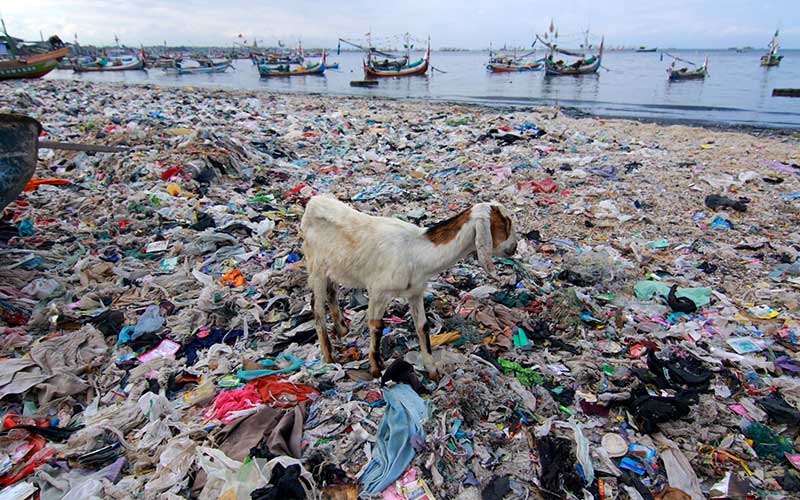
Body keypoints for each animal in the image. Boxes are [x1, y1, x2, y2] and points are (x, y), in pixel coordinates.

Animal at [300, 195, 520, 378]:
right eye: (505, 224)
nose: (514, 247)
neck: (417, 251)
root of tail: (313, 203)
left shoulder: (415, 293)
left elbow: (422, 327)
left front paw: (432, 371)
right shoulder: (379, 292)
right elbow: (376, 326)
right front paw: (376, 368)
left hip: (333, 268)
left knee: (332, 293)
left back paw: (342, 330)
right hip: (316, 267)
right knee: (317, 308)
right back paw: (329, 356)